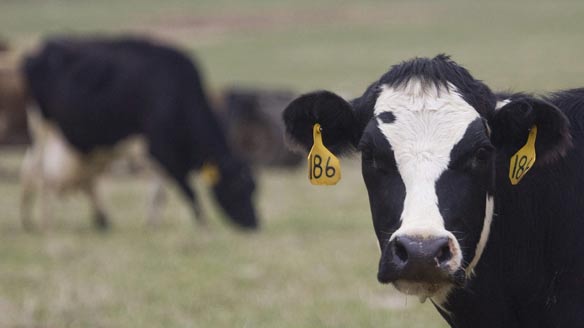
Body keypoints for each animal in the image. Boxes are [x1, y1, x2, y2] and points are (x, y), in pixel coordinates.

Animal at [21, 36, 258, 231]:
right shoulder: (162, 150)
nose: (254, 224)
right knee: (38, 173)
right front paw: (203, 224)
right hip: (43, 130)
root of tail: (38, 53)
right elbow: (186, 189)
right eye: (237, 187)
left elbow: (158, 191)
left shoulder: (157, 153)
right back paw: (45, 223)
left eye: (254, 188)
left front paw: (152, 223)